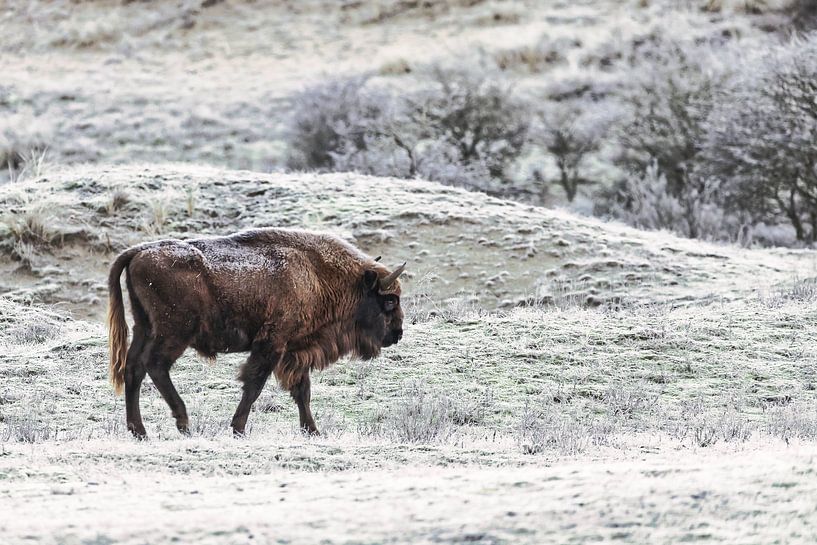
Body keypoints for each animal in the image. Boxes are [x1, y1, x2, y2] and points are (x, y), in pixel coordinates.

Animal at [107, 228, 404, 438]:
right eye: (389, 301)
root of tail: (139, 251)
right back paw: (183, 423)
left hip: (144, 327)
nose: (398, 333)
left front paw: (313, 431)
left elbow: (302, 391)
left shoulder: (294, 352)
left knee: (133, 368)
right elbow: (254, 385)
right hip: (174, 333)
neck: (316, 275)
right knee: (155, 365)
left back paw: (139, 431)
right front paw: (238, 429)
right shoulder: (272, 345)